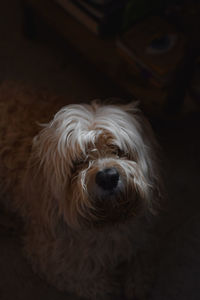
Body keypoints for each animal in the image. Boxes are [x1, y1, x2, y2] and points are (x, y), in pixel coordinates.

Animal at [0, 82, 162, 300]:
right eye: (78, 161)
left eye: (118, 150)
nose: (108, 176)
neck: (107, 222)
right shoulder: (49, 256)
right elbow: (90, 281)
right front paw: (109, 287)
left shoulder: (142, 236)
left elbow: (142, 260)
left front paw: (137, 282)